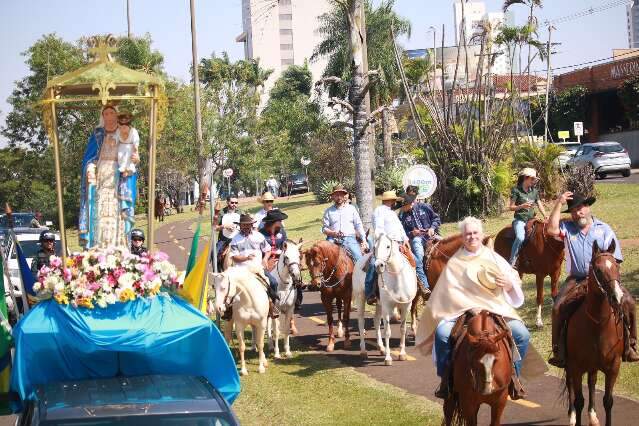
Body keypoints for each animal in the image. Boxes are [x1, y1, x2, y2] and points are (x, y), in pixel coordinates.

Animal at [352, 233, 418, 366]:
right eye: (375, 247)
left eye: (388, 246)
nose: (379, 266)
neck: (398, 279)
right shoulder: (387, 307)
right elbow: (387, 331)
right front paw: (388, 358)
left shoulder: (406, 306)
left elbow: (403, 329)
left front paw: (402, 354)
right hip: (360, 298)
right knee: (361, 321)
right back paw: (363, 351)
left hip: (379, 304)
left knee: (376, 320)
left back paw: (381, 348)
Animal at [564, 240, 624, 426]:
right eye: (598, 270)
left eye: (617, 266)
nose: (617, 297)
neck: (598, 324)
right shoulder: (576, 366)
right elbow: (579, 400)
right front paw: (576, 417)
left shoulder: (613, 367)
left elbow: (608, 401)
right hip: (571, 365)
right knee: (570, 385)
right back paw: (572, 415)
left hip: (593, 366)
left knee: (591, 382)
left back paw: (592, 415)